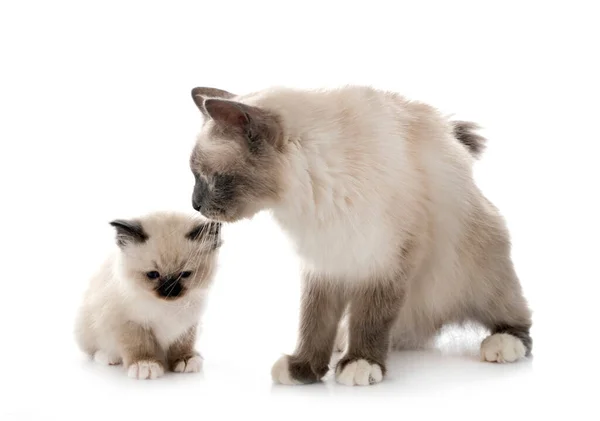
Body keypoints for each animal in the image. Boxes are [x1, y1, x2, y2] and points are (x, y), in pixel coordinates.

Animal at [75, 212, 223, 378]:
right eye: (153, 274)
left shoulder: (187, 325)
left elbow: (183, 345)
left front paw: (185, 359)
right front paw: (145, 364)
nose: (169, 290)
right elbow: (139, 345)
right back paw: (107, 357)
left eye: (185, 274)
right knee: (95, 350)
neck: (167, 306)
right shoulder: (129, 322)